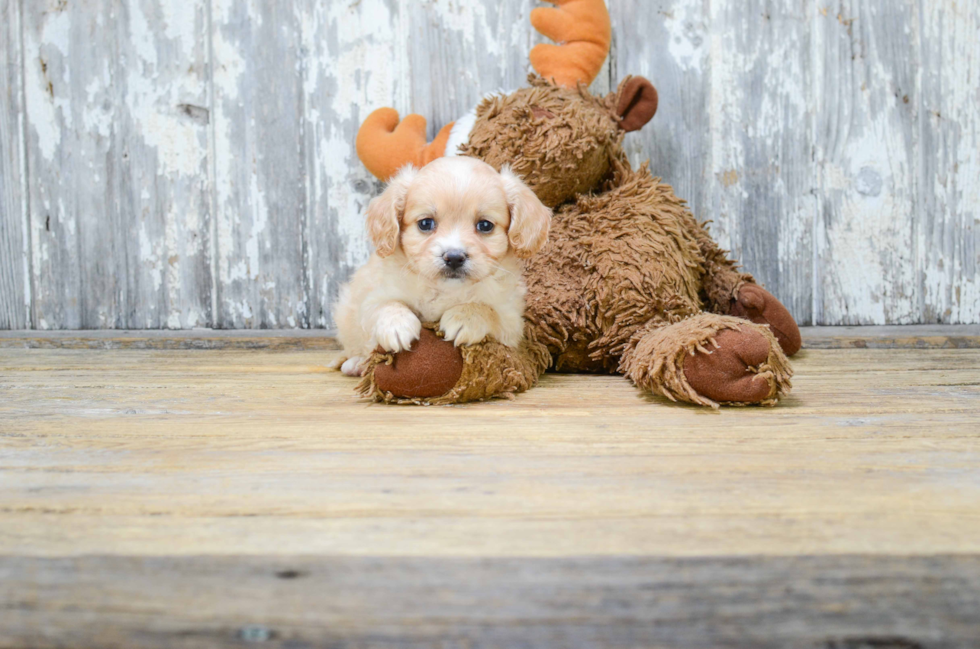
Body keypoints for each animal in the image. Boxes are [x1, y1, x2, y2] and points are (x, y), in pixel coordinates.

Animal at [334, 156, 552, 374]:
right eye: (425, 223)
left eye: (485, 225)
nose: (454, 257)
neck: (445, 289)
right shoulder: (375, 295)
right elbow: (385, 305)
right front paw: (396, 325)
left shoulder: (511, 320)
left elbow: (488, 311)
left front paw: (465, 318)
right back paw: (355, 364)